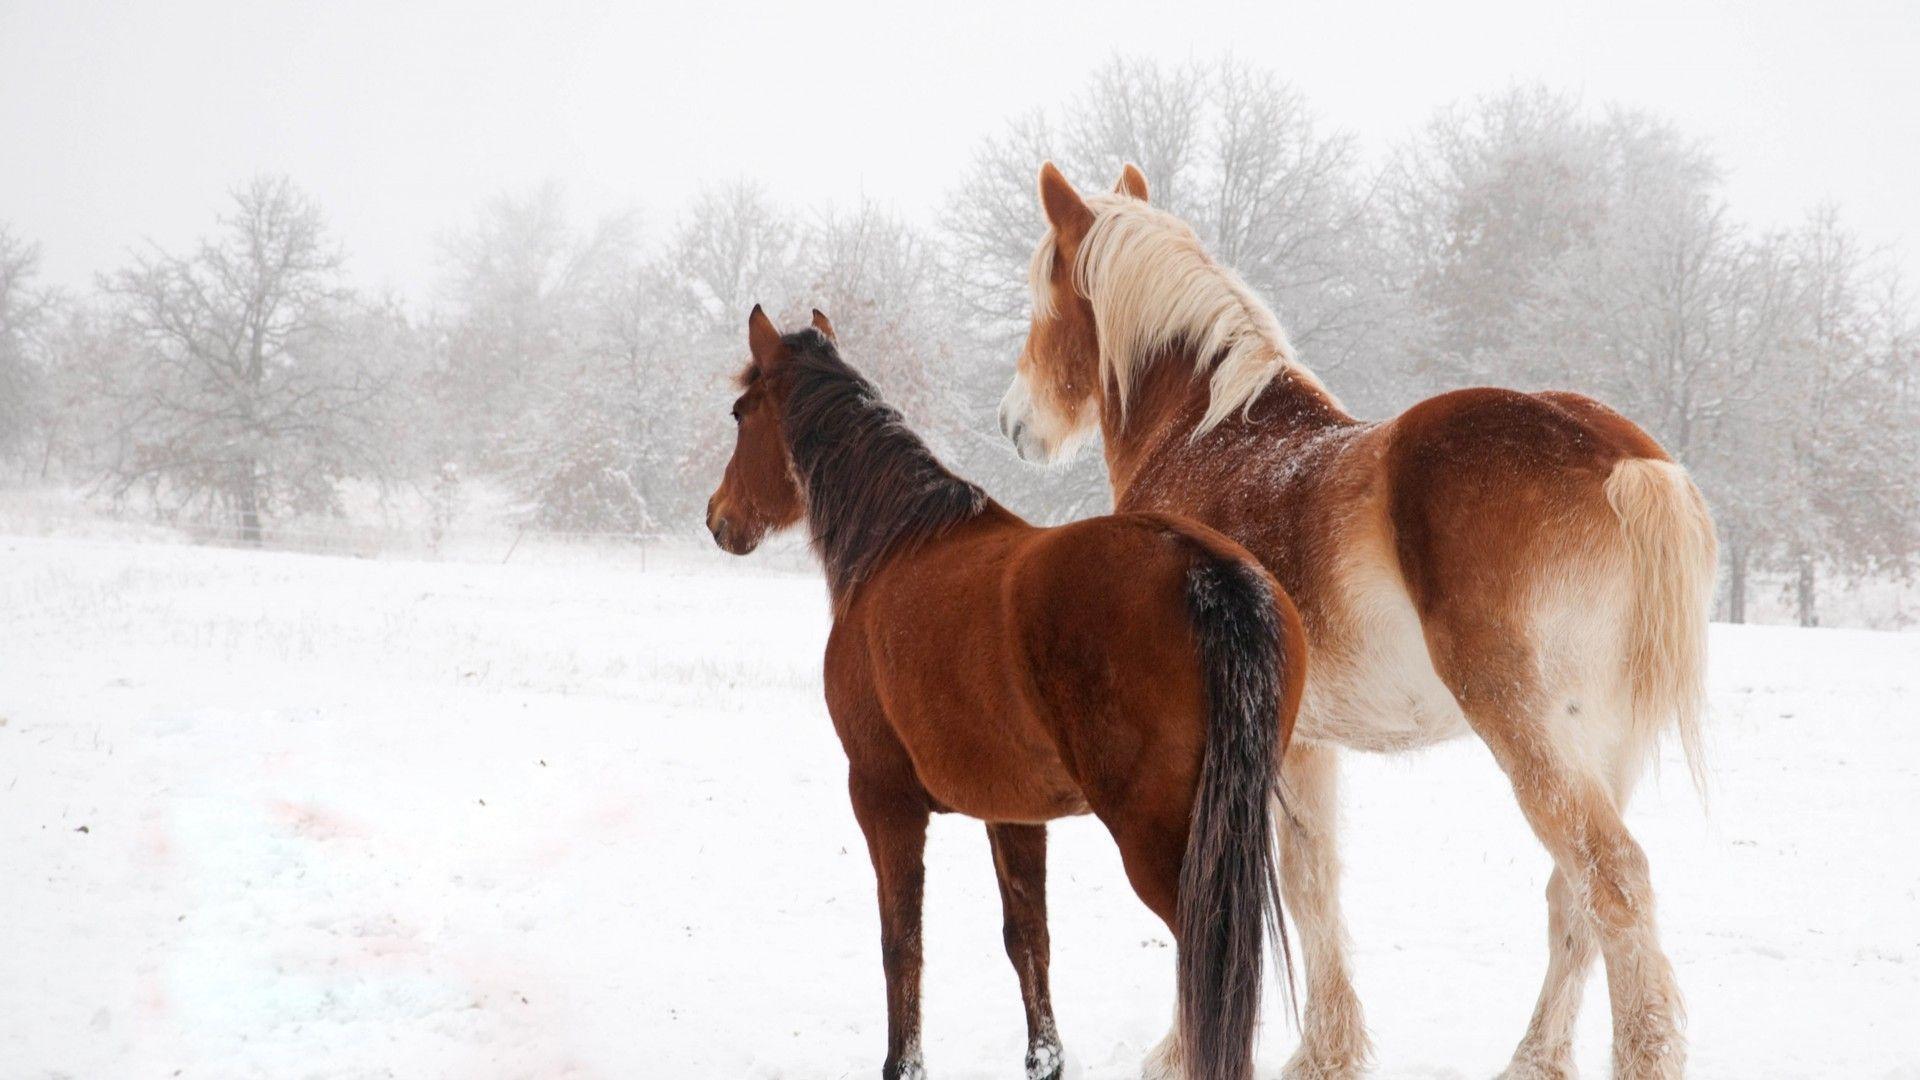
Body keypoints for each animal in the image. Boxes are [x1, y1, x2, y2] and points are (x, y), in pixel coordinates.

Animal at [705, 305, 1305, 1080]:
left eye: (740, 412)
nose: (718, 518)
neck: (894, 547)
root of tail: (1203, 567)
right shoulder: (1013, 813)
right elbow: (1028, 939)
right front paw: (1043, 1058)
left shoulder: (881, 796)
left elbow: (901, 941)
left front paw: (902, 1064)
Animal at [999, 163, 1719, 1080]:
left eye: (1043, 294)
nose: (1014, 423)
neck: (1205, 438)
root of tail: (1623, 458)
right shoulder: (1304, 744)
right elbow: (1315, 883)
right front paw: (1326, 1052)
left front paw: (1183, 1051)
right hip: (1601, 744)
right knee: (1575, 896)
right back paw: (1532, 1059)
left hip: (1530, 731)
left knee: (1612, 877)